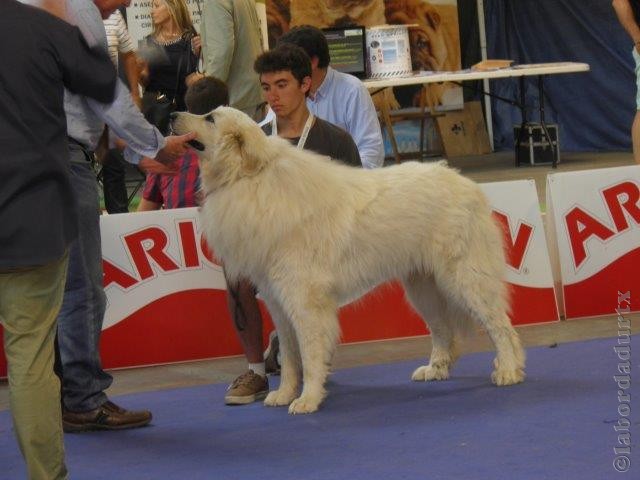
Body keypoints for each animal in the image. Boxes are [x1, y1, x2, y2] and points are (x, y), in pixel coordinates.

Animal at [171, 107, 524, 414]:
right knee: (442, 331)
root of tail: (466, 183)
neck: (251, 179)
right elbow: (290, 358)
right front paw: (284, 394)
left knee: (501, 326)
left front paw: (308, 399)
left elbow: (310, 355)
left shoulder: (305, 303)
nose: (172, 114)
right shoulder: (278, 303)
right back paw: (435, 369)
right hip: (423, 289)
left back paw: (509, 370)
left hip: (465, 279)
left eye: (209, 117)